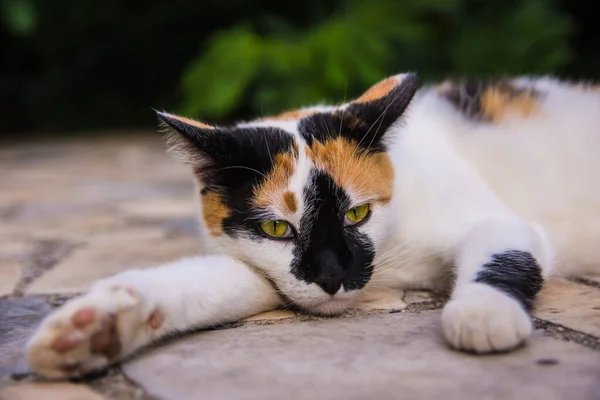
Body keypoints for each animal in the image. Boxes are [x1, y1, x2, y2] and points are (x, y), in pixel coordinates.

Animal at [27, 72, 600, 378]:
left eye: (357, 213)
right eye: (278, 230)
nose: (330, 276)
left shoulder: (495, 219)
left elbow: (505, 249)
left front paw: (483, 311)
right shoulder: (264, 270)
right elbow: (209, 282)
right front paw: (103, 325)